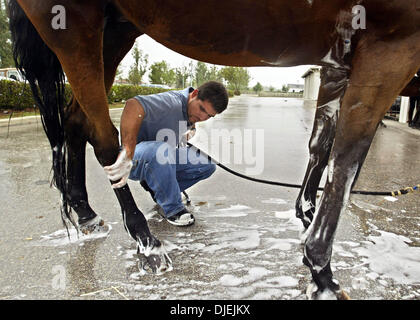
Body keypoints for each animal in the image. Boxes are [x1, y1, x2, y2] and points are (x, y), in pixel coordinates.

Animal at [7, 0, 420, 300]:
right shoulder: (391, 44)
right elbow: (346, 161)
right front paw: (322, 274)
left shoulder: (338, 63)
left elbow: (321, 146)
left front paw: (305, 213)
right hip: (73, 22)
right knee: (104, 136)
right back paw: (147, 243)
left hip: (113, 30)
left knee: (76, 122)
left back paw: (88, 213)